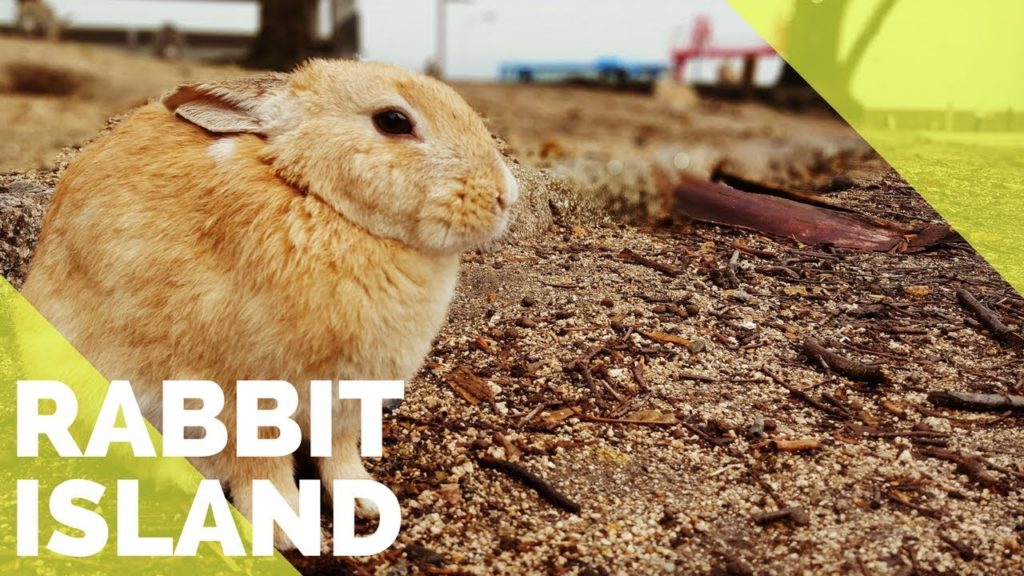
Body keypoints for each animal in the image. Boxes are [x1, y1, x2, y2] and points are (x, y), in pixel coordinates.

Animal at [21, 59, 519, 551]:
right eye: (393, 121)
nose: (504, 195)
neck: (317, 198)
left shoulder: (341, 408)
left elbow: (339, 456)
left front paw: (367, 503)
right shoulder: (240, 403)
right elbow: (263, 472)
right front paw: (291, 532)